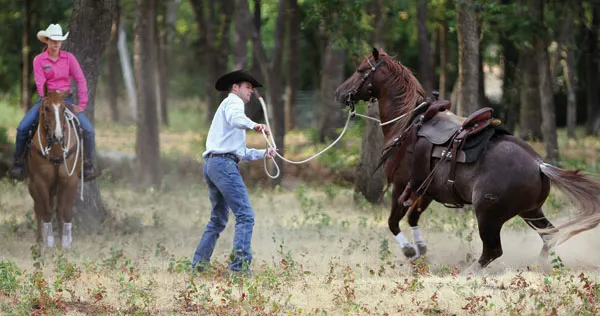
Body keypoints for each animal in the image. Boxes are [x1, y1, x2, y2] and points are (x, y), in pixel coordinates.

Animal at [27, 87, 82, 249]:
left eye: (63, 108)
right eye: (46, 108)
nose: (58, 136)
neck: (56, 150)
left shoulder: (70, 180)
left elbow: (66, 211)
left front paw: (66, 241)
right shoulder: (41, 181)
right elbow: (46, 211)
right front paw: (49, 241)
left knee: (57, 210)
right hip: (33, 186)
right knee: (38, 208)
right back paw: (40, 239)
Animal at [336, 47, 600, 272]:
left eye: (360, 69)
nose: (339, 93)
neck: (407, 123)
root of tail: (539, 165)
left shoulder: (401, 186)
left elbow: (392, 222)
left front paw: (410, 250)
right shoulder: (425, 191)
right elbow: (412, 218)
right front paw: (421, 250)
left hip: (488, 215)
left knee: (493, 250)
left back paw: (469, 272)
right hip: (531, 211)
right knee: (549, 236)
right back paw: (538, 265)